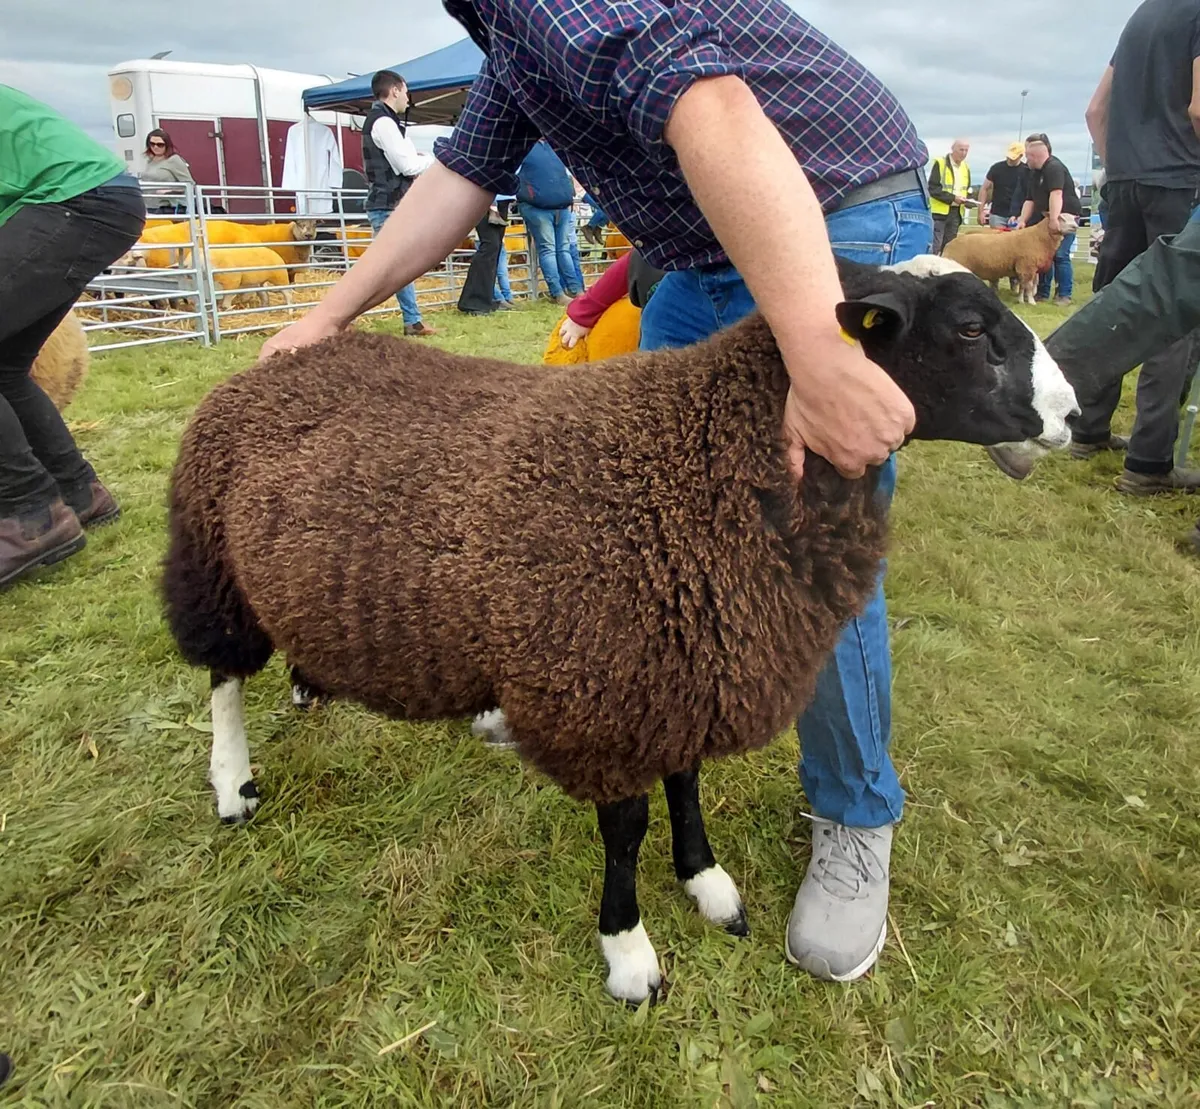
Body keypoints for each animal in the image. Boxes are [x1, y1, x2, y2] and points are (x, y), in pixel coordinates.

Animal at [162, 255, 1078, 1005]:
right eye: (971, 329)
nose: (1074, 417)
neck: (710, 454)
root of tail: (279, 357)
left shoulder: (681, 665)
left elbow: (687, 784)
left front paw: (707, 883)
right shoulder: (609, 690)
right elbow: (626, 830)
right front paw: (629, 950)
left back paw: (310, 685)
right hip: (210, 564)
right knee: (222, 678)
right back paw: (232, 783)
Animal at [943, 214, 1079, 304]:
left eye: (1073, 218)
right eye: (1061, 218)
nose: (1075, 226)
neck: (1039, 237)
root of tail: (948, 245)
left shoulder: (1025, 269)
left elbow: (1024, 286)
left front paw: (1021, 300)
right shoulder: (1027, 266)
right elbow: (1029, 286)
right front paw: (1031, 301)